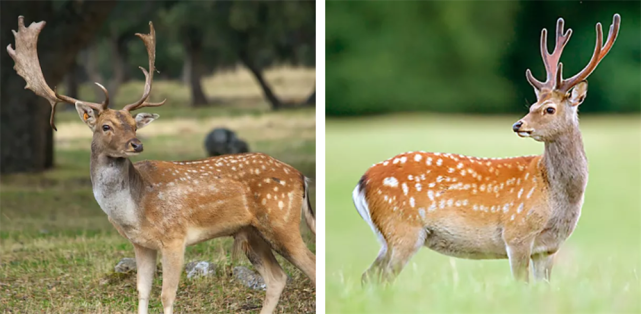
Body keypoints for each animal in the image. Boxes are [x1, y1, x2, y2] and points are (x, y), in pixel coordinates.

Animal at [5, 17, 316, 314]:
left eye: (133, 125)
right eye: (106, 126)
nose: (136, 144)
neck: (134, 210)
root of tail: (301, 176)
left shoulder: (175, 236)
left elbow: (167, 296)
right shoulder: (141, 244)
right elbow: (142, 291)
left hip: (280, 220)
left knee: (311, 266)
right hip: (252, 232)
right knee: (277, 278)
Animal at [356, 14, 620, 284]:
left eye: (549, 109)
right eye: (532, 105)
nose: (518, 124)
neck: (556, 197)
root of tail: (363, 181)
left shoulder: (548, 249)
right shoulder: (517, 233)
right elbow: (521, 284)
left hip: (388, 238)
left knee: (368, 276)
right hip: (403, 229)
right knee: (381, 278)